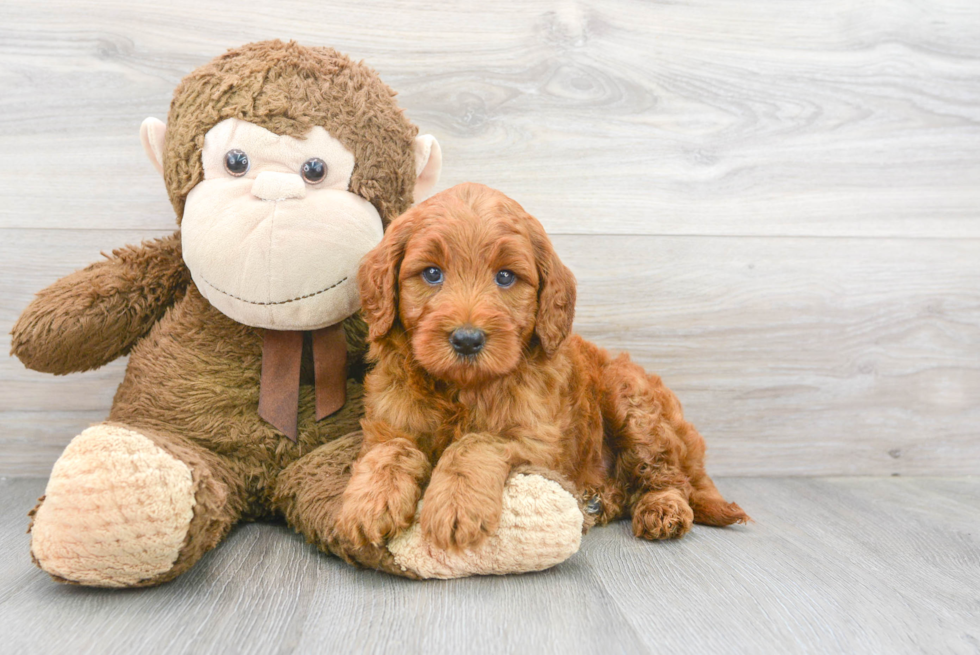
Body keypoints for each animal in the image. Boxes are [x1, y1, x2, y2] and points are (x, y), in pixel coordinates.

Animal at [336, 181, 752, 552]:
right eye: (432, 273)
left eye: (505, 276)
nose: (467, 339)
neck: (462, 390)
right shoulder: (388, 422)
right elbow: (392, 450)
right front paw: (369, 504)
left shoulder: (539, 440)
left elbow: (476, 442)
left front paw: (455, 505)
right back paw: (597, 501)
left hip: (634, 404)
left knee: (668, 476)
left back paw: (661, 509)